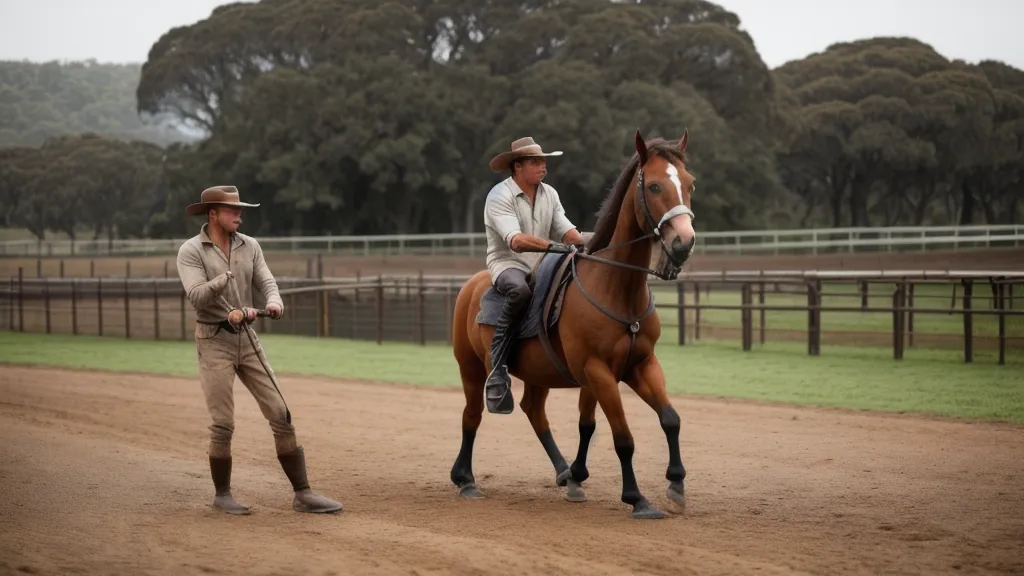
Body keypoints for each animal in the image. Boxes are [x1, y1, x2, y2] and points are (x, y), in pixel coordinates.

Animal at [450, 129, 697, 520]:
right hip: (472, 369)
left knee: (535, 412)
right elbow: (623, 438)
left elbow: (667, 418)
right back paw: (466, 479)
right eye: (655, 186)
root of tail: (471, 285)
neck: (615, 288)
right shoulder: (598, 372)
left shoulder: (639, 366)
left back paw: (565, 471)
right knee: (471, 416)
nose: (683, 242)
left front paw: (675, 485)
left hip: (538, 374)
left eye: (689, 183)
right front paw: (637, 498)